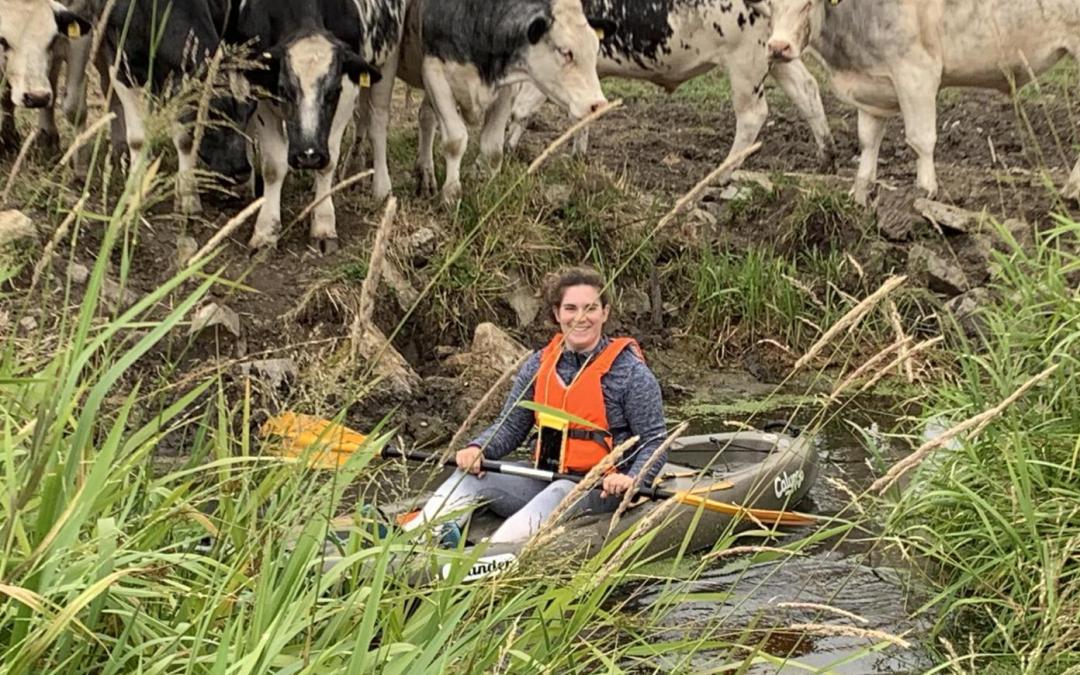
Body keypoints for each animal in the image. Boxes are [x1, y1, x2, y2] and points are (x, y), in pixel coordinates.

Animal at [236, 0, 406, 252]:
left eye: (334, 91)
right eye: (284, 89)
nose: (309, 155)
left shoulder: (348, 89)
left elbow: (329, 164)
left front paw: (323, 225)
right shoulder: (262, 93)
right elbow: (273, 166)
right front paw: (265, 230)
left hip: (387, 60)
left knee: (377, 122)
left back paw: (381, 187)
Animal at [397, 0, 617, 203]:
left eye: (595, 49)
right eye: (565, 51)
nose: (599, 104)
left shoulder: (505, 88)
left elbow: (493, 149)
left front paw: (486, 193)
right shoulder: (435, 75)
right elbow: (455, 141)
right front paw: (451, 196)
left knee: (426, 116)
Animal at [505, 0, 833, 176]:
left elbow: (521, 111)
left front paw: (508, 154)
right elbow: (583, 113)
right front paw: (577, 158)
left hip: (745, 59)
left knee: (753, 114)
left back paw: (723, 173)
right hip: (776, 52)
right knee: (807, 89)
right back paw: (826, 156)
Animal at [764, 0, 1080, 205]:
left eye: (807, 4)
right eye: (770, 5)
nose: (778, 48)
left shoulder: (917, 74)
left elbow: (921, 139)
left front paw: (926, 189)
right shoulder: (871, 88)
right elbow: (868, 141)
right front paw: (861, 194)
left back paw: (1072, 190)